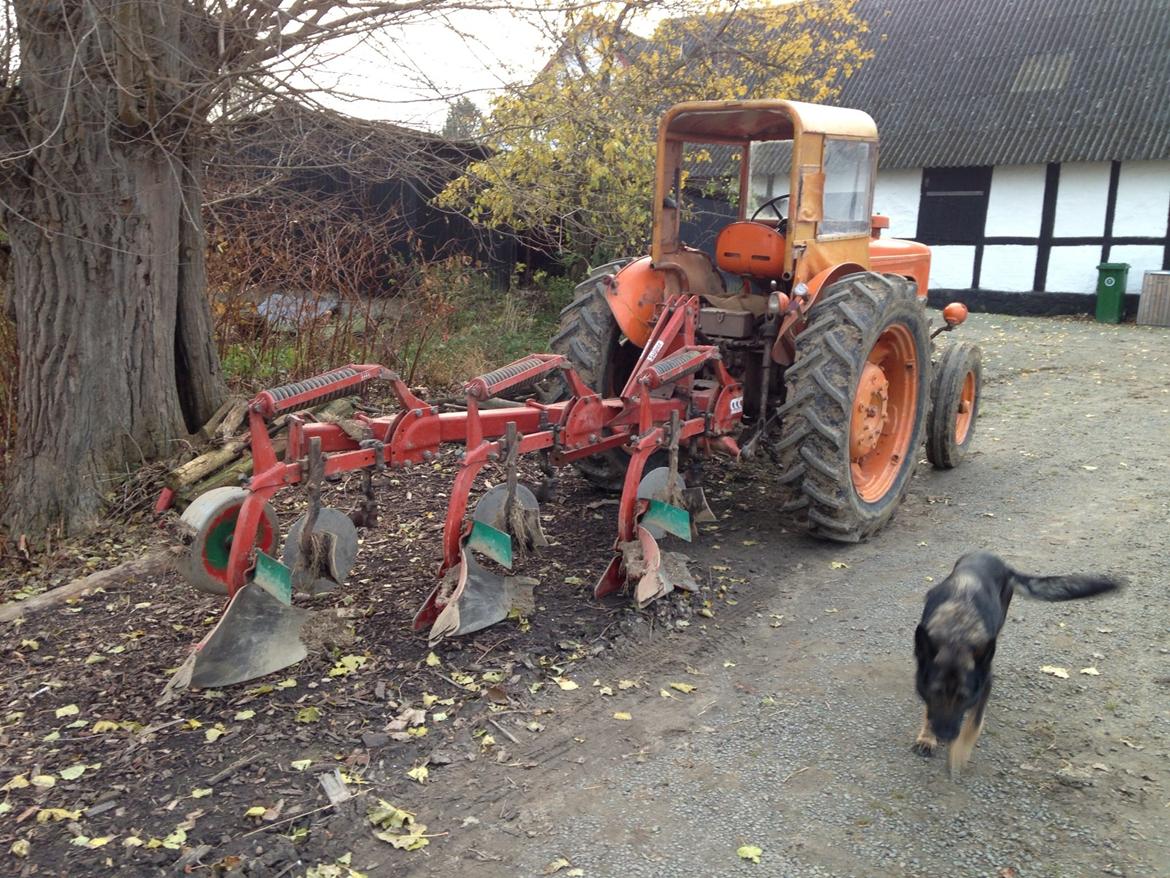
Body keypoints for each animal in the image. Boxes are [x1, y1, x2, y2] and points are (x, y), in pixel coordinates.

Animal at [907, 552, 1118, 782]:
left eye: (965, 697)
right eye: (936, 692)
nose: (945, 736)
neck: (957, 630)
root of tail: (996, 559)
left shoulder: (985, 683)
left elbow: (973, 724)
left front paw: (958, 754)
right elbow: (930, 711)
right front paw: (927, 738)